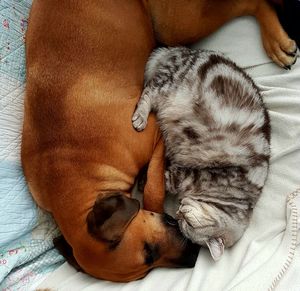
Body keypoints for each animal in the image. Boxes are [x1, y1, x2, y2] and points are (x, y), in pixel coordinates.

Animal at [132, 46, 270, 262]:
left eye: (184, 224)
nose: (178, 212)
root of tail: (185, 51)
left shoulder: (179, 173)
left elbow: (159, 173)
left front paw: (143, 179)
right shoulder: (186, 174)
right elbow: (163, 177)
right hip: (170, 85)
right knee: (148, 91)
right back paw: (140, 117)